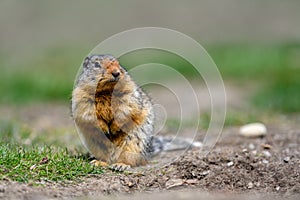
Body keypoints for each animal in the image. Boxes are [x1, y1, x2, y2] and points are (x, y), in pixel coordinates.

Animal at [71, 54, 200, 170]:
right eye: (97, 64)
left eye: (118, 64)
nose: (116, 73)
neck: (107, 91)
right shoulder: (81, 98)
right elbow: (87, 113)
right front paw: (104, 128)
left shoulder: (129, 95)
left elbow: (126, 110)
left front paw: (114, 127)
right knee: (105, 159)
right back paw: (98, 162)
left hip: (133, 144)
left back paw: (120, 165)